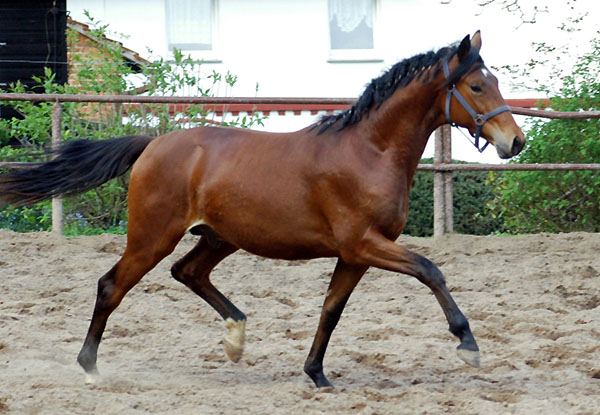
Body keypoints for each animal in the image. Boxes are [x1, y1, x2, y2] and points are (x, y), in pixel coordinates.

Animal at [0, 31, 524, 386]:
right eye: (476, 86)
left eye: (495, 81)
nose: (515, 142)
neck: (369, 151)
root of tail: (152, 143)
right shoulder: (364, 244)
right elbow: (431, 270)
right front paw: (468, 346)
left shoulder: (355, 254)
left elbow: (331, 310)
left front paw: (316, 374)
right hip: (153, 235)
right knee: (112, 286)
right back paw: (89, 367)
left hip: (219, 237)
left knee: (187, 273)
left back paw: (235, 337)